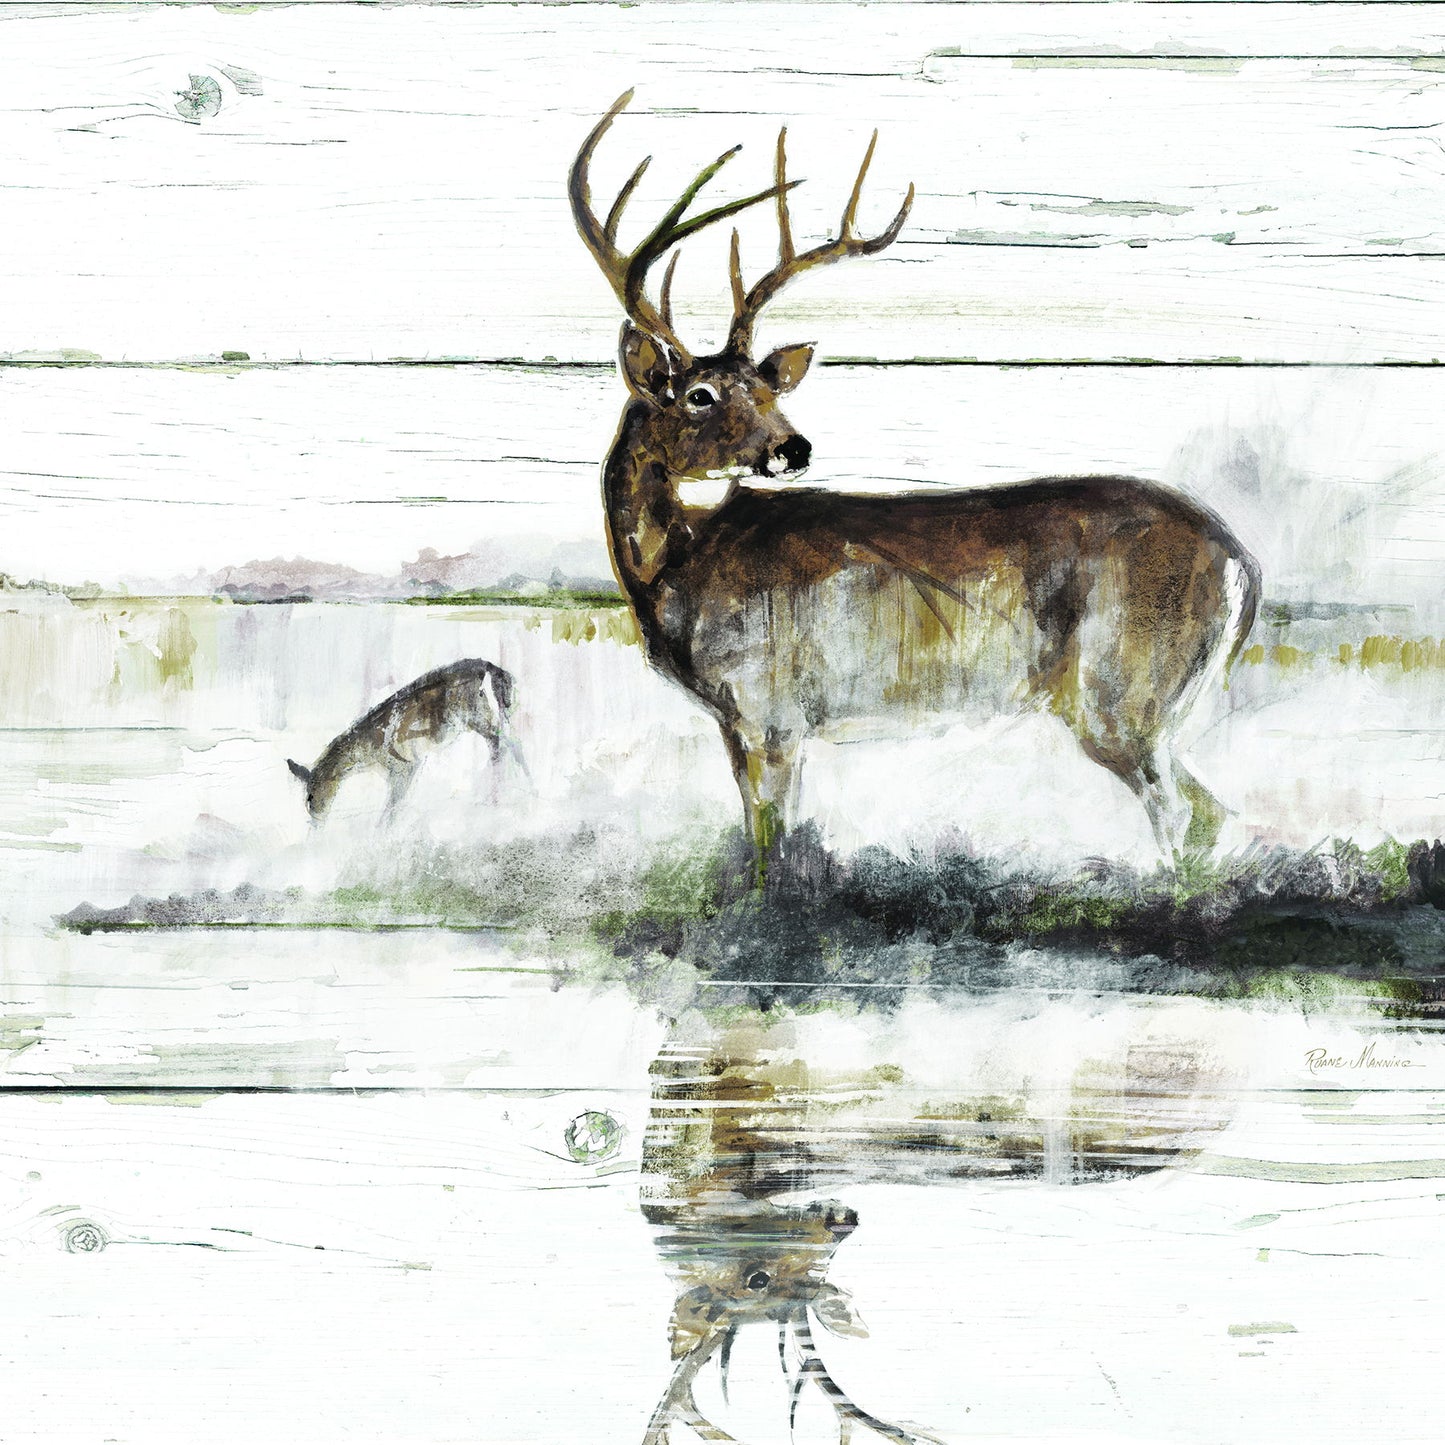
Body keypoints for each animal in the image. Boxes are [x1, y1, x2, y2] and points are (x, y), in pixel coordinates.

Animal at [286, 658, 519, 821]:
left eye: (311, 796)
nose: (315, 817)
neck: (366, 756)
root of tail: (487, 665)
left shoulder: (406, 765)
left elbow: (392, 809)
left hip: (476, 716)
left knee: (504, 743)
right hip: (488, 715)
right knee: (507, 742)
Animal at [569, 93, 1261, 882]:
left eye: (764, 389)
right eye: (700, 395)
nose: (793, 447)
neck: (677, 570)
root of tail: (1239, 560)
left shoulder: (768, 708)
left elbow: (769, 845)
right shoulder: (753, 721)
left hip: (1121, 690)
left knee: (1186, 815)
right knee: (1209, 816)